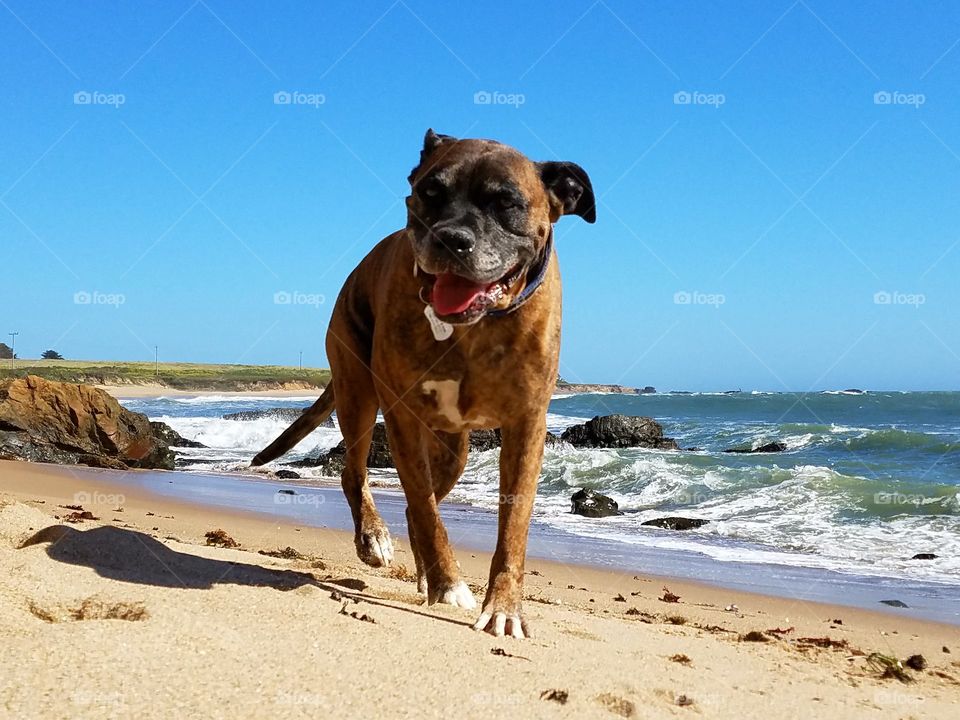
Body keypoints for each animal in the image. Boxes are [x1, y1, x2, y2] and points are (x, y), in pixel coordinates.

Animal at [251, 129, 592, 636]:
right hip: (357, 393)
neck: (476, 327)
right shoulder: (402, 417)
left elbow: (512, 524)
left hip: (454, 452)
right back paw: (377, 541)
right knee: (360, 476)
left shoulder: (527, 426)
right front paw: (449, 585)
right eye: (431, 192)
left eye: (506, 202)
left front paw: (505, 606)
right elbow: (429, 513)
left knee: (417, 501)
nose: (452, 238)